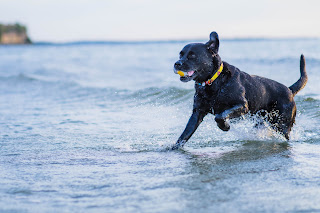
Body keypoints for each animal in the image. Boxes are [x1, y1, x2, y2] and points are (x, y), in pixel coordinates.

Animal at [172, 31, 308, 149]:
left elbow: (220, 116)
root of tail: (289, 90)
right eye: (180, 54)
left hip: (282, 124)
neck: (214, 82)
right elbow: (185, 134)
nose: (177, 64)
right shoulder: (197, 113)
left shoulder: (242, 106)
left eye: (192, 56)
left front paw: (225, 126)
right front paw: (173, 148)